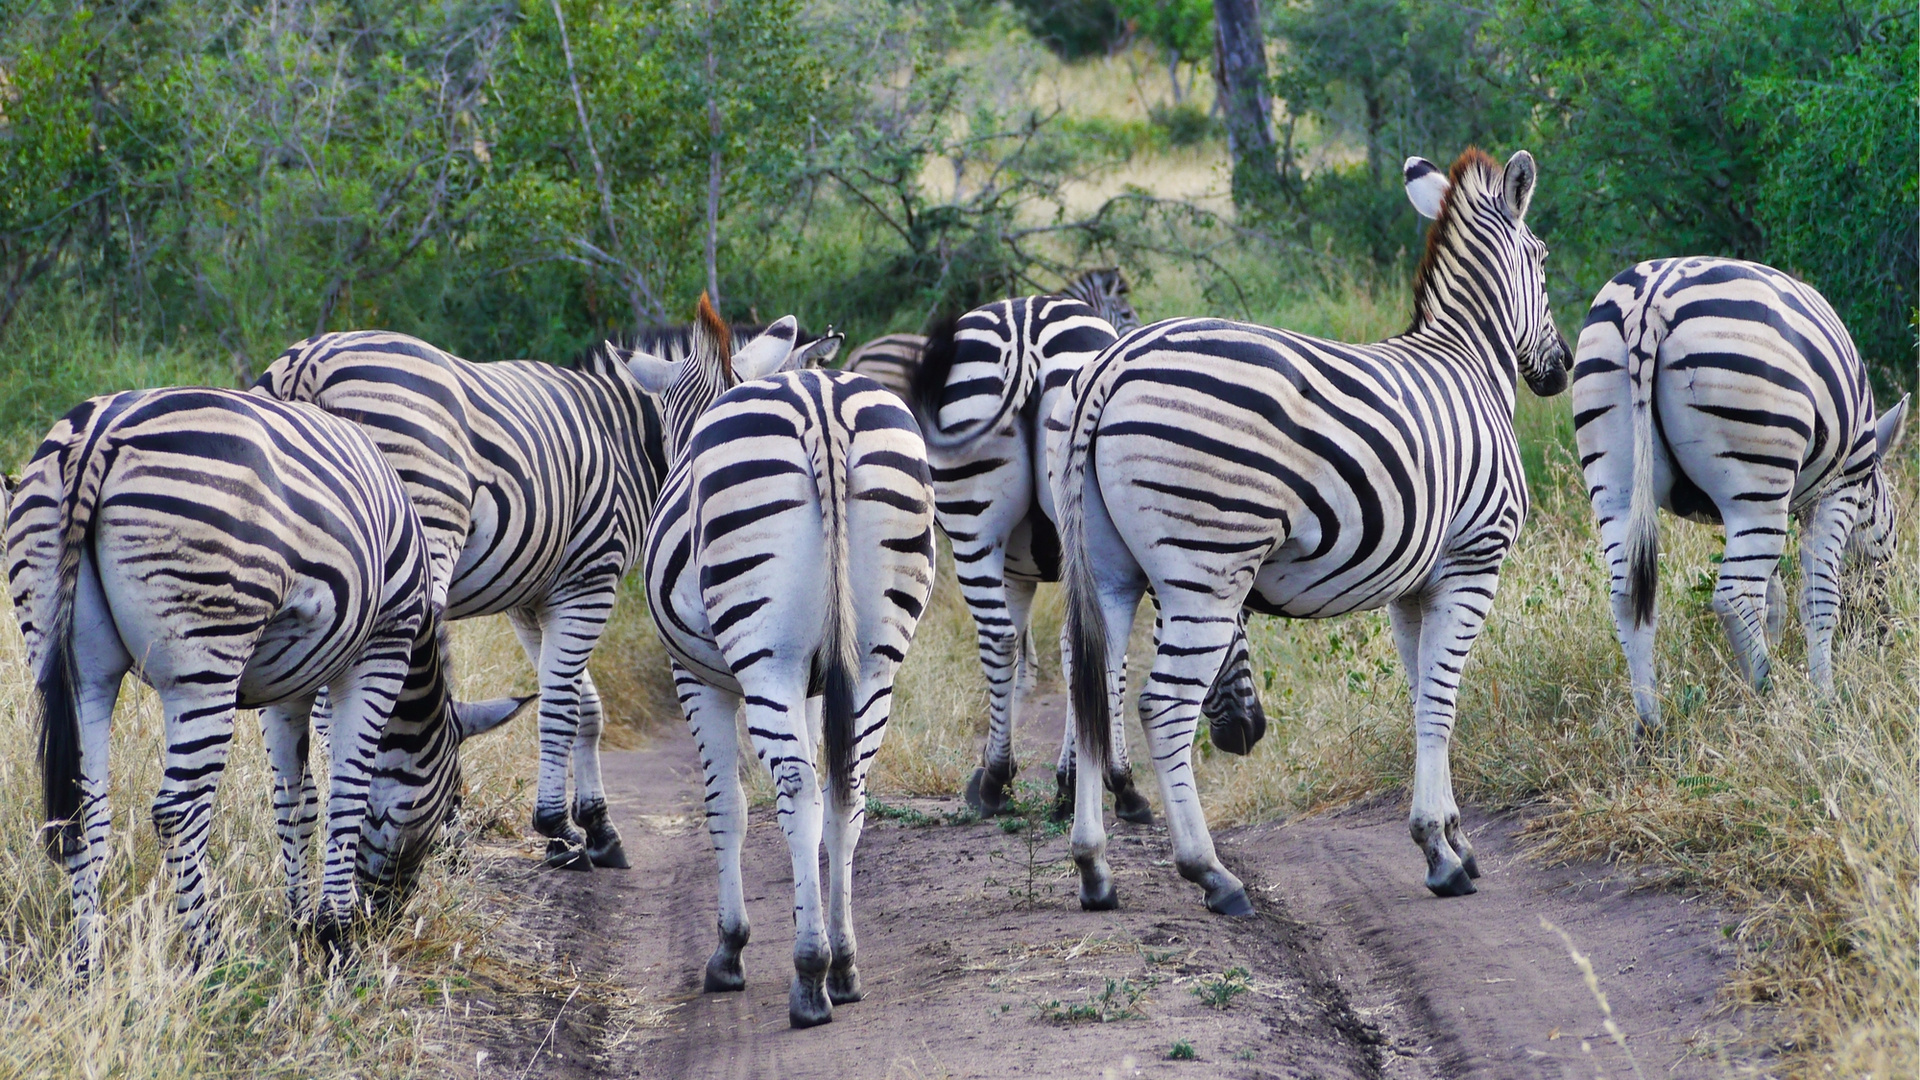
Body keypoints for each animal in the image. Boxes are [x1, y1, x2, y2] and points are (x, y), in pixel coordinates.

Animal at [5, 382, 533, 960]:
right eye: (446, 809)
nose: (386, 919)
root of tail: (98, 436)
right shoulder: (382, 650)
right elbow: (348, 789)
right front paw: (334, 934)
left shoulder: (289, 682)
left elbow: (296, 799)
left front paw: (300, 919)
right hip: (206, 657)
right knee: (178, 811)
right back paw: (209, 957)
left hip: (74, 661)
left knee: (85, 809)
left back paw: (87, 961)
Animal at [249, 319, 833, 864]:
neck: (624, 439)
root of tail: (307, 364)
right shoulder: (589, 578)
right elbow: (560, 707)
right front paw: (559, 828)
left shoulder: (531, 599)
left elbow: (586, 705)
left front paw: (594, 825)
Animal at [645, 297, 936, 1022]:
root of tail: (821, 409)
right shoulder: (816, 683)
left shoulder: (699, 679)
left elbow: (727, 807)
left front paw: (730, 949)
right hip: (875, 656)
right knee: (846, 786)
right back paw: (845, 965)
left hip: (765, 656)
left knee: (799, 787)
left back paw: (809, 978)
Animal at [1052, 148, 1574, 907]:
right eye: (1542, 257)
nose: (1562, 368)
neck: (1470, 362)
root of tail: (1113, 362)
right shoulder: (1474, 562)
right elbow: (1442, 700)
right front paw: (1439, 851)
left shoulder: (1412, 588)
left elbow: (1421, 695)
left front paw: (1454, 838)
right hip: (1207, 569)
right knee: (1163, 706)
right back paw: (1211, 873)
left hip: (1109, 570)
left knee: (1091, 689)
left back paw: (1094, 867)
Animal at [1566, 255, 1912, 734]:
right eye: (1890, 548)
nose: (1883, 639)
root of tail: (1650, 304)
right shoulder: (1835, 491)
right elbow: (1818, 598)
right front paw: (1824, 701)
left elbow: (1775, 601)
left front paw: (1776, 658)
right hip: (1756, 476)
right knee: (1734, 595)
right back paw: (1767, 697)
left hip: (1614, 480)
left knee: (1628, 597)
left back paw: (1650, 724)